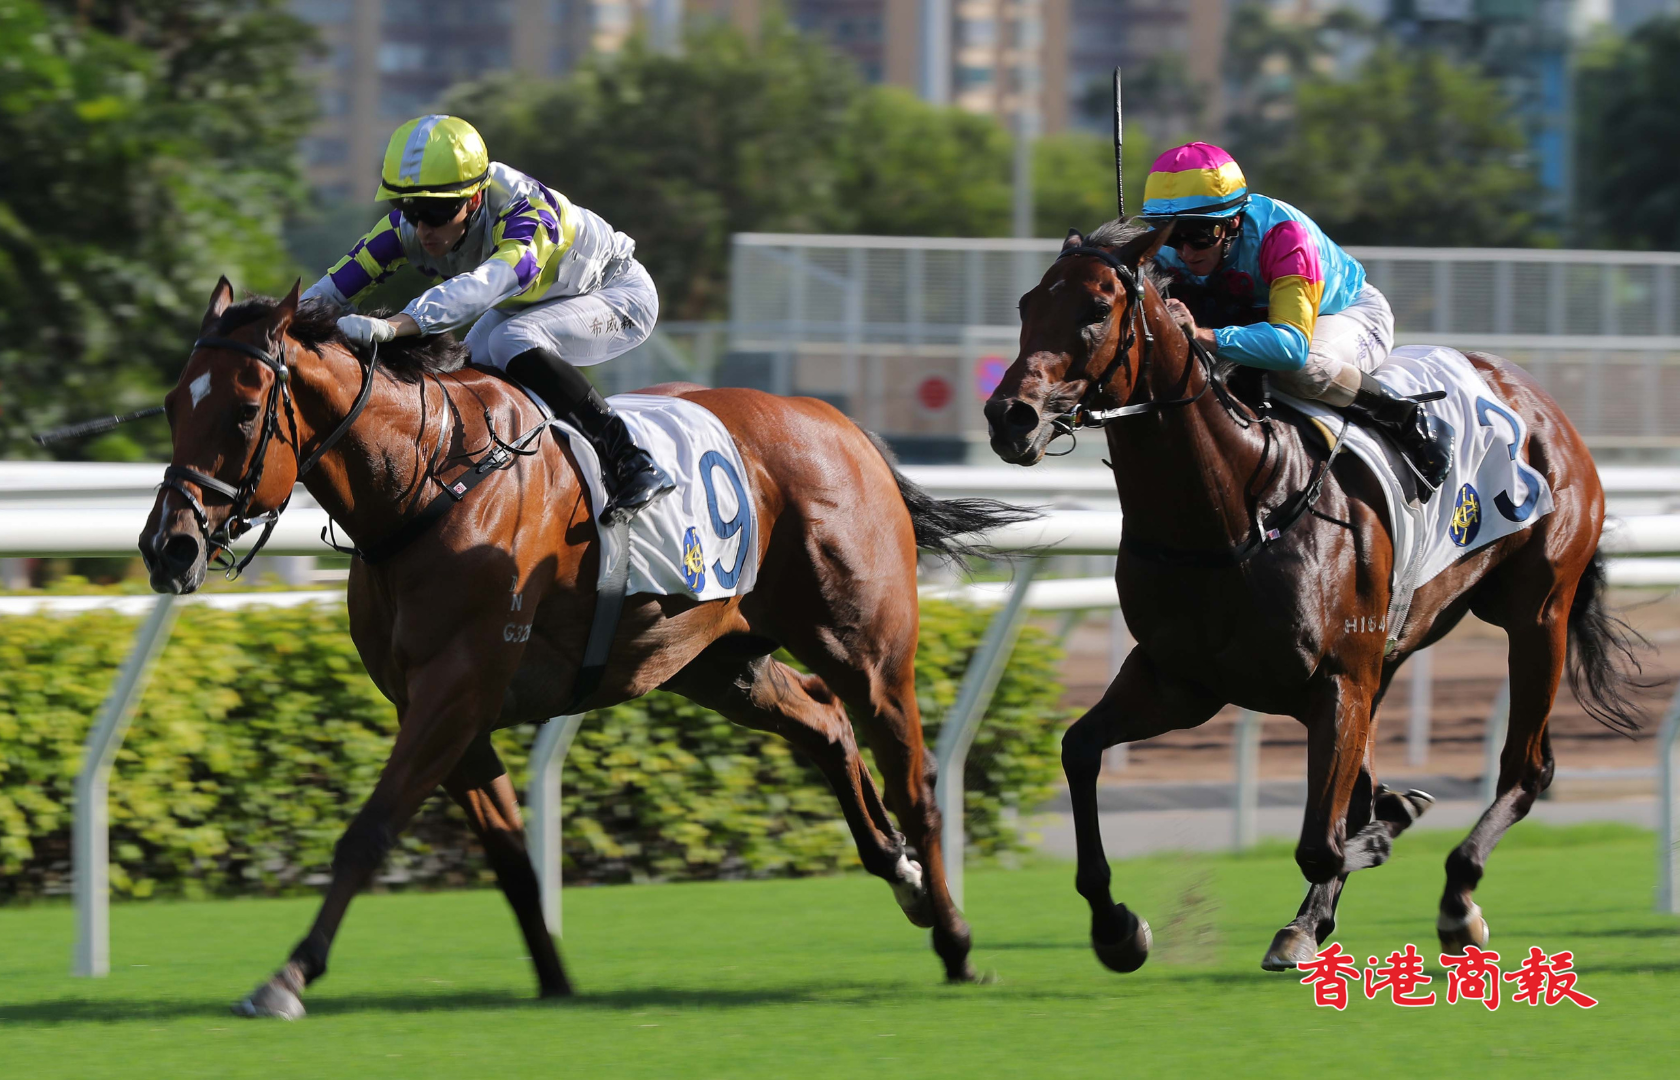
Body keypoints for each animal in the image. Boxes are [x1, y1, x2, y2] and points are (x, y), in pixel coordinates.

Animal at [138, 279, 1032, 1017]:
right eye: (174, 405)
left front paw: (288, 976)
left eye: (244, 412)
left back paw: (954, 938)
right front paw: (555, 979)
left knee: (913, 775)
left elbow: (369, 831)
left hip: (864, 647)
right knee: (824, 724)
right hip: (717, 661)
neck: (426, 481)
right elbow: (509, 857)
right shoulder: (446, 708)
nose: (168, 547)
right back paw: (899, 872)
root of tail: (843, 425)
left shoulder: (453, 690)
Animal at [983, 221, 1644, 974]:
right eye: (1027, 303)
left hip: (1537, 614)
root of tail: (1537, 398)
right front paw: (1116, 925)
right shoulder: (1178, 681)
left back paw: (1457, 896)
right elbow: (1080, 750)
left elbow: (1322, 841)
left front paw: (1382, 830)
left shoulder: (1335, 682)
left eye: (1096, 308)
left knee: (1528, 767)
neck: (1236, 510)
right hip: (1400, 642)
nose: (1010, 416)